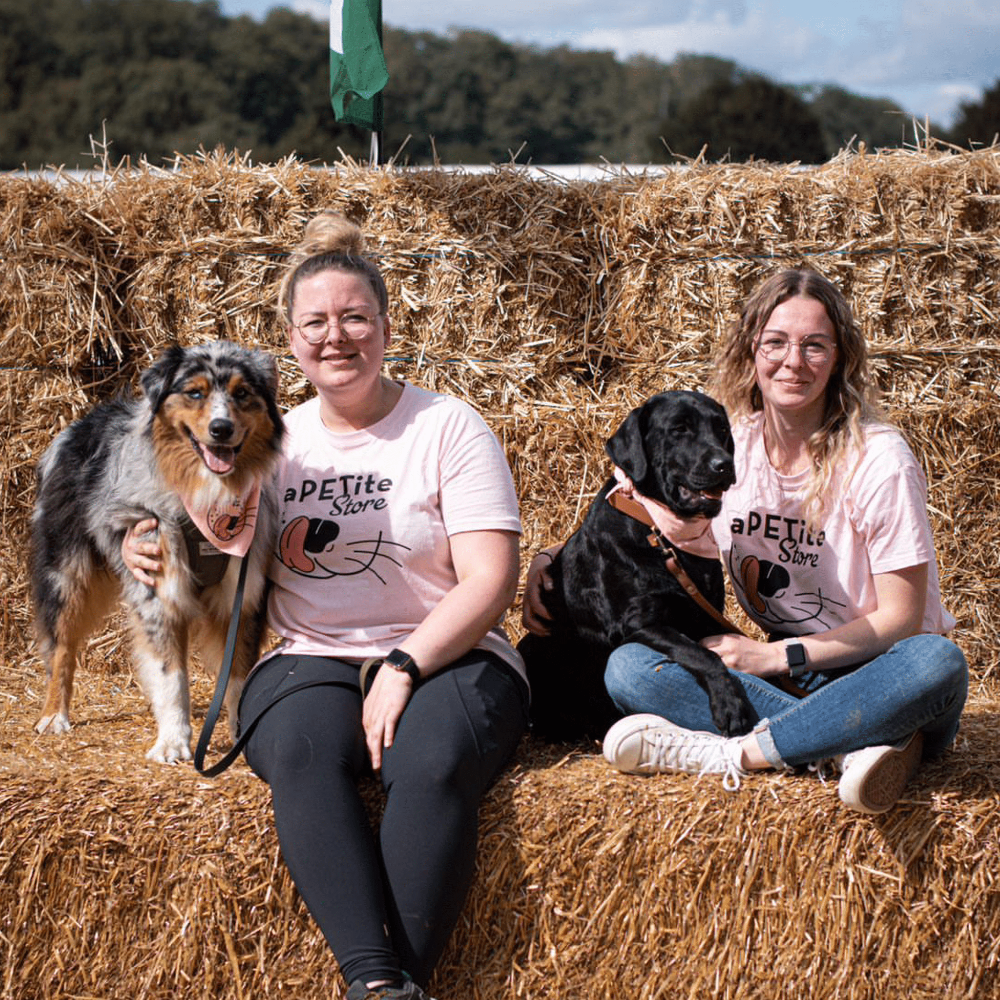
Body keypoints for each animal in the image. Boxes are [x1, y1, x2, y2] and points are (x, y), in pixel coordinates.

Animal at [524, 390, 756, 744]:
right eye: (679, 429)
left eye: (721, 429)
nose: (724, 465)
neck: (660, 531)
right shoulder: (636, 621)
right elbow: (702, 654)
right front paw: (730, 704)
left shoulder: (707, 614)